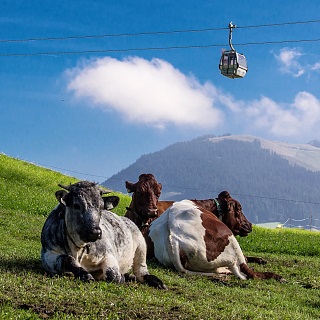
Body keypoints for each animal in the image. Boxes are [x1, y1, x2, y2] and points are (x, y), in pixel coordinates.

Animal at [40, 181, 168, 288]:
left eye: (101, 207)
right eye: (76, 205)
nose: (95, 232)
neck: (78, 248)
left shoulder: (108, 254)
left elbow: (113, 275)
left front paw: (120, 277)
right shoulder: (47, 254)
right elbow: (67, 259)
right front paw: (85, 275)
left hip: (141, 247)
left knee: (141, 271)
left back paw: (157, 282)